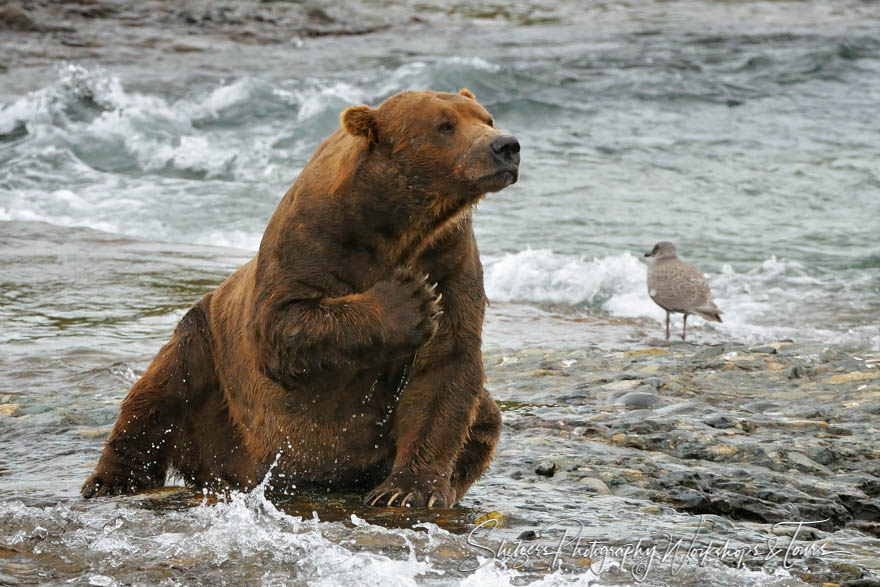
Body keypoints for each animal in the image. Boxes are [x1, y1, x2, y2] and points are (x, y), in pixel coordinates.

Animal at [79, 88, 520, 510]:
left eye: (487, 118)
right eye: (444, 125)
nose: (506, 145)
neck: (399, 223)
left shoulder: (450, 253)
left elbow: (445, 364)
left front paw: (409, 489)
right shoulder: (314, 235)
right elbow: (285, 326)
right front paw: (407, 299)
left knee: (485, 417)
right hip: (209, 353)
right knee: (160, 390)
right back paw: (111, 480)